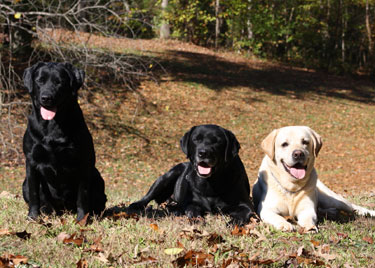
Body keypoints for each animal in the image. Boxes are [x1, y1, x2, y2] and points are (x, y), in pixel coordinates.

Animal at [22, 61, 106, 221]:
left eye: (59, 82)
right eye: (40, 81)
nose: (46, 97)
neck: (53, 125)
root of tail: (63, 210)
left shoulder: (84, 163)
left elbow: (82, 195)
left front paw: (82, 220)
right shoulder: (31, 162)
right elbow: (34, 193)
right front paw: (32, 218)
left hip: (97, 177)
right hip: (24, 184)